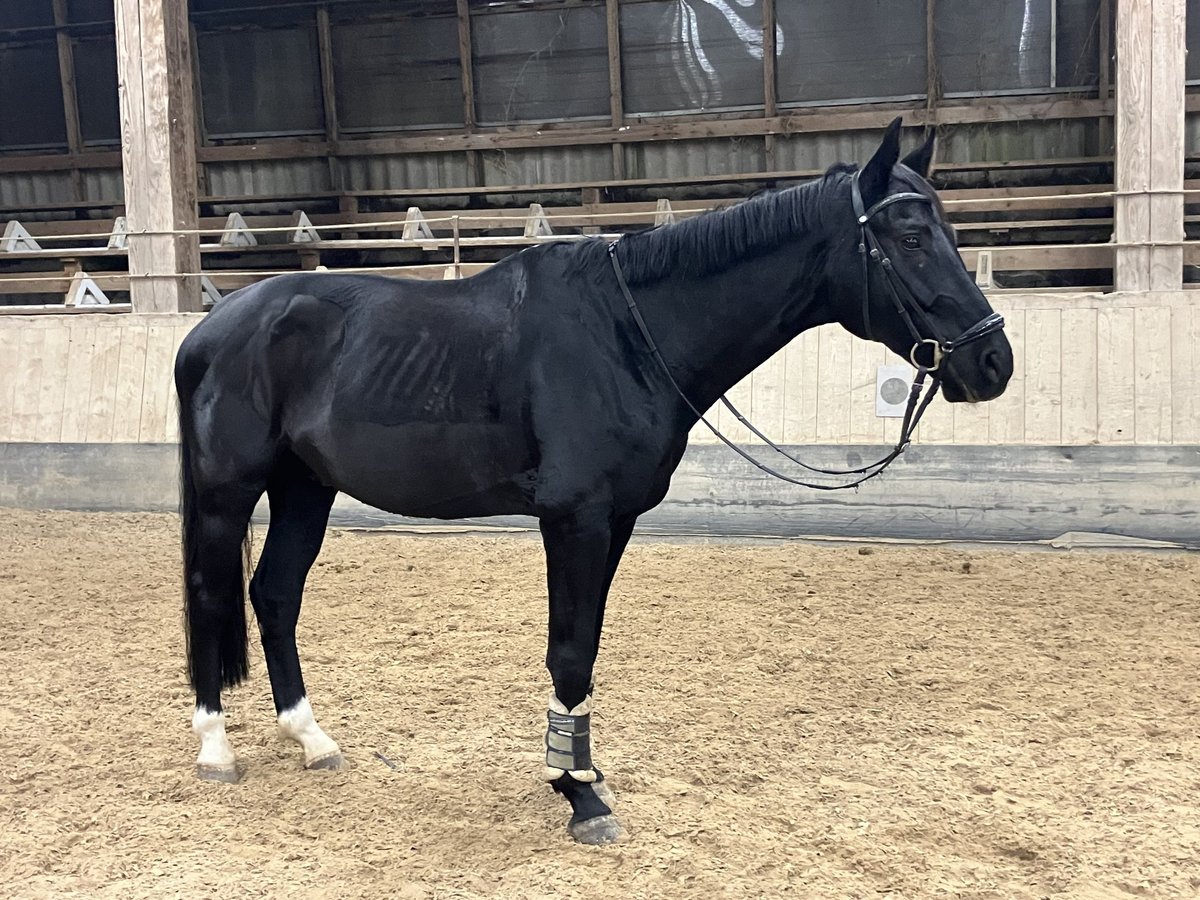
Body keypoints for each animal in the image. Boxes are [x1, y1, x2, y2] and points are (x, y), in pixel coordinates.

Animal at [171, 118, 1012, 844]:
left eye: (949, 232)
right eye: (911, 237)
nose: (993, 362)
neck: (625, 333)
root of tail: (213, 327)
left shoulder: (618, 520)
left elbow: (587, 647)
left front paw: (581, 770)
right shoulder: (575, 519)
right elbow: (571, 651)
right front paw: (578, 796)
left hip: (305, 488)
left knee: (275, 594)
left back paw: (312, 738)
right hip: (227, 493)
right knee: (214, 595)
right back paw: (215, 748)